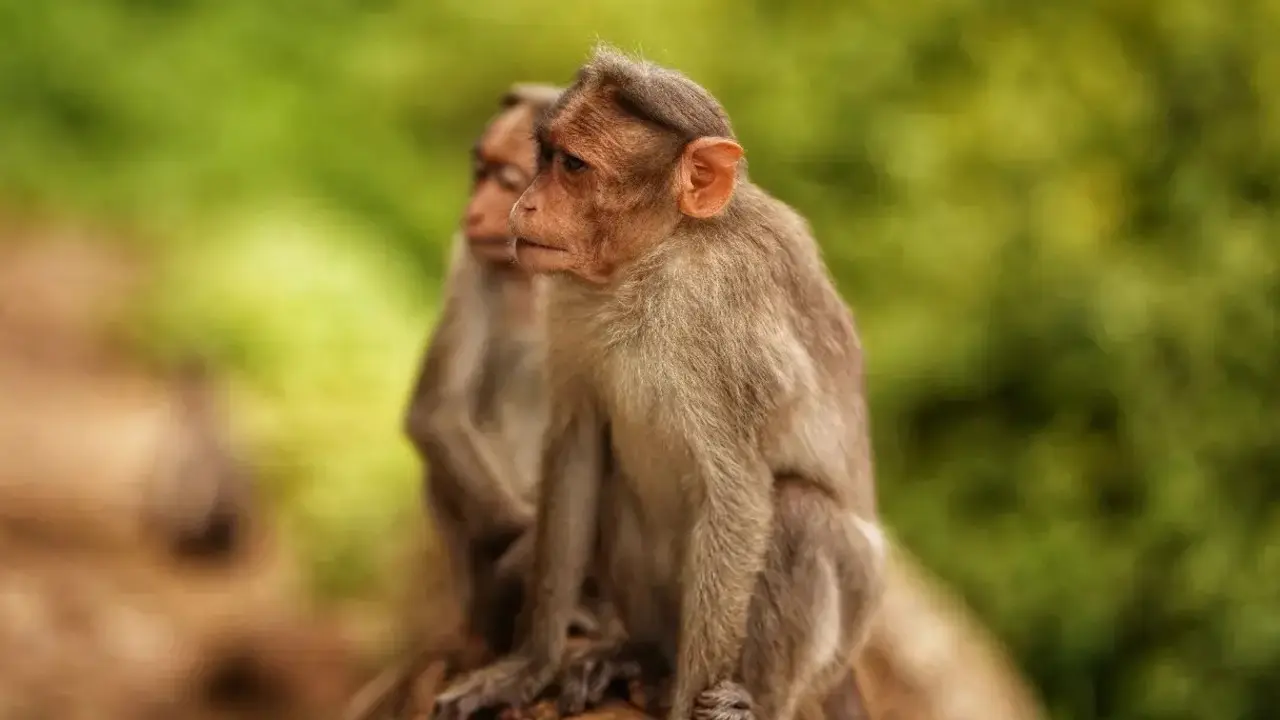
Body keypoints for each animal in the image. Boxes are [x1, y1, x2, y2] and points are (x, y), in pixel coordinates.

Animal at [432, 45, 887, 720]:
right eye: (545, 157)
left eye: (573, 166)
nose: (525, 207)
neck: (656, 258)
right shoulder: (569, 299)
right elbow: (577, 447)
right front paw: (527, 667)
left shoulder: (731, 332)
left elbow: (739, 496)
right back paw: (641, 657)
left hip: (842, 628)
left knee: (800, 513)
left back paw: (746, 698)